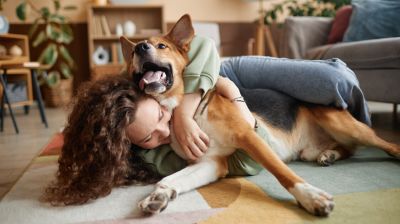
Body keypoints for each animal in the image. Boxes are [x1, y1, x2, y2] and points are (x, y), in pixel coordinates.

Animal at [119, 14, 400, 217]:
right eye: (133, 54)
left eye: (161, 46)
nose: (140, 47)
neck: (183, 111)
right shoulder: (210, 162)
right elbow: (170, 179)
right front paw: (159, 196)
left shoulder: (248, 136)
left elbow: (283, 173)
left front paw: (311, 197)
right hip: (313, 148)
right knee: (347, 149)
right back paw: (329, 154)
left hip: (341, 123)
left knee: (385, 144)